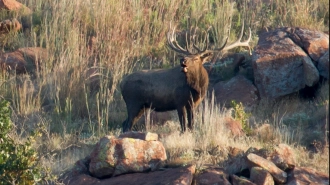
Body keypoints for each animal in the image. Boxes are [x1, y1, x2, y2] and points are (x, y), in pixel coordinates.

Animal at [120, 23, 251, 133]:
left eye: (196, 58)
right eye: (185, 55)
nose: (182, 61)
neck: (197, 88)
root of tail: (121, 84)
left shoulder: (193, 104)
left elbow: (191, 124)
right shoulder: (179, 102)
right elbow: (183, 126)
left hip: (141, 107)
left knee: (125, 124)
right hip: (133, 102)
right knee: (126, 125)